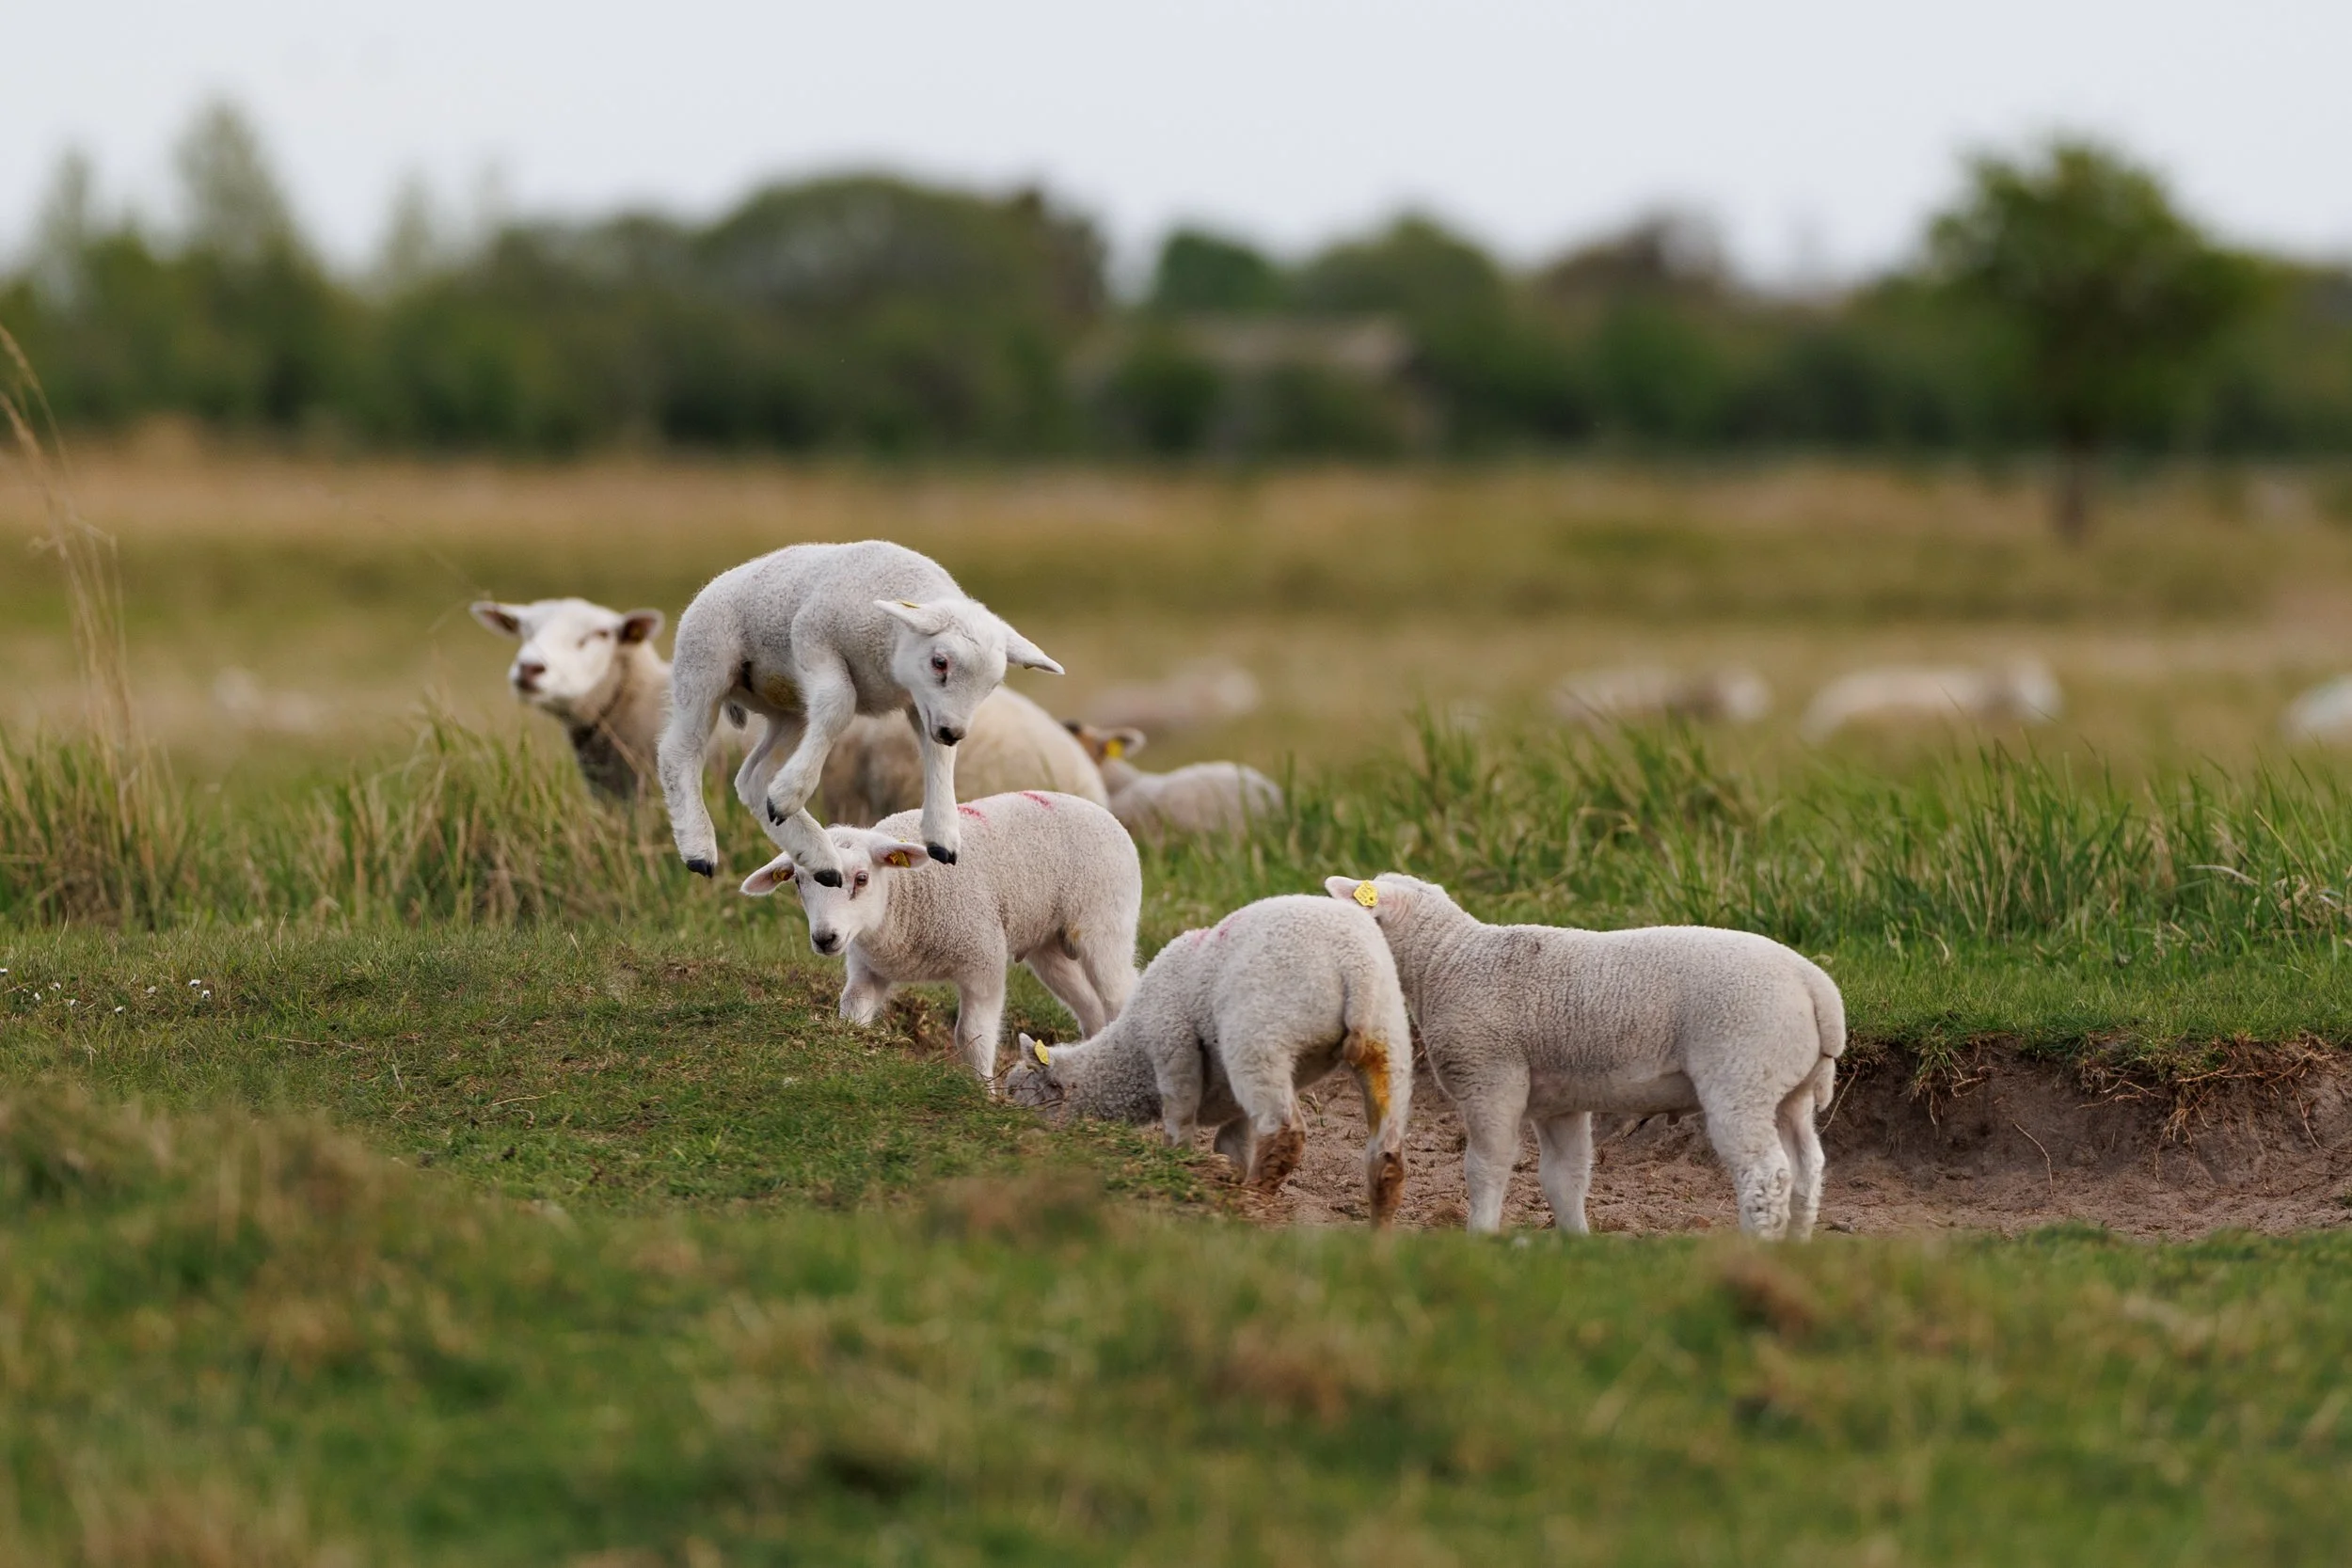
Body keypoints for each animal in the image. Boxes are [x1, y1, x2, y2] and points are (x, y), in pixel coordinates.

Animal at [659, 540, 1063, 885]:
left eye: (992, 685)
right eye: (940, 662)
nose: (954, 732)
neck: (886, 648)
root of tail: (715, 583)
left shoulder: (924, 704)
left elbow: (939, 753)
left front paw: (942, 834)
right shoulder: (812, 636)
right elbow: (839, 703)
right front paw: (793, 792)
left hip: (788, 705)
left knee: (754, 778)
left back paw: (816, 854)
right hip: (704, 663)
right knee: (679, 751)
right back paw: (699, 847)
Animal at [739, 790, 1138, 1081]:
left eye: (862, 879)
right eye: (798, 882)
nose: (825, 938)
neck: (902, 895)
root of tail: (1101, 811)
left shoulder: (982, 960)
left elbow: (972, 1036)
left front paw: (983, 1093)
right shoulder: (869, 970)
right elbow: (851, 1010)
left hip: (1105, 923)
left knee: (1118, 995)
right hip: (1049, 945)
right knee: (1089, 1010)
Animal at [1001, 894, 1411, 1223]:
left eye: (1016, 1092)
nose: (1007, 1127)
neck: (1132, 1050)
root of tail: (1355, 966)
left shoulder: (1172, 1045)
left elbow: (1179, 1119)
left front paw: (1177, 1169)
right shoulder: (1234, 1105)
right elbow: (1232, 1147)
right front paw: (1221, 1177)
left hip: (1261, 1034)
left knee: (1286, 1131)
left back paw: (1253, 1202)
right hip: (1388, 1039)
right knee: (1386, 1159)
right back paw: (1379, 1236)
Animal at [1322, 872, 1844, 1240]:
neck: (1444, 961)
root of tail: (1815, 986)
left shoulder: (1490, 1077)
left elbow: (1485, 1166)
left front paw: (1481, 1235)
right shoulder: (1559, 1103)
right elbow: (1564, 1177)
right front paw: (1576, 1242)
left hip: (1742, 1070)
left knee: (1766, 1173)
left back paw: (1760, 1243)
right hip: (1787, 1086)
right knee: (1806, 1169)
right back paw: (1796, 1244)